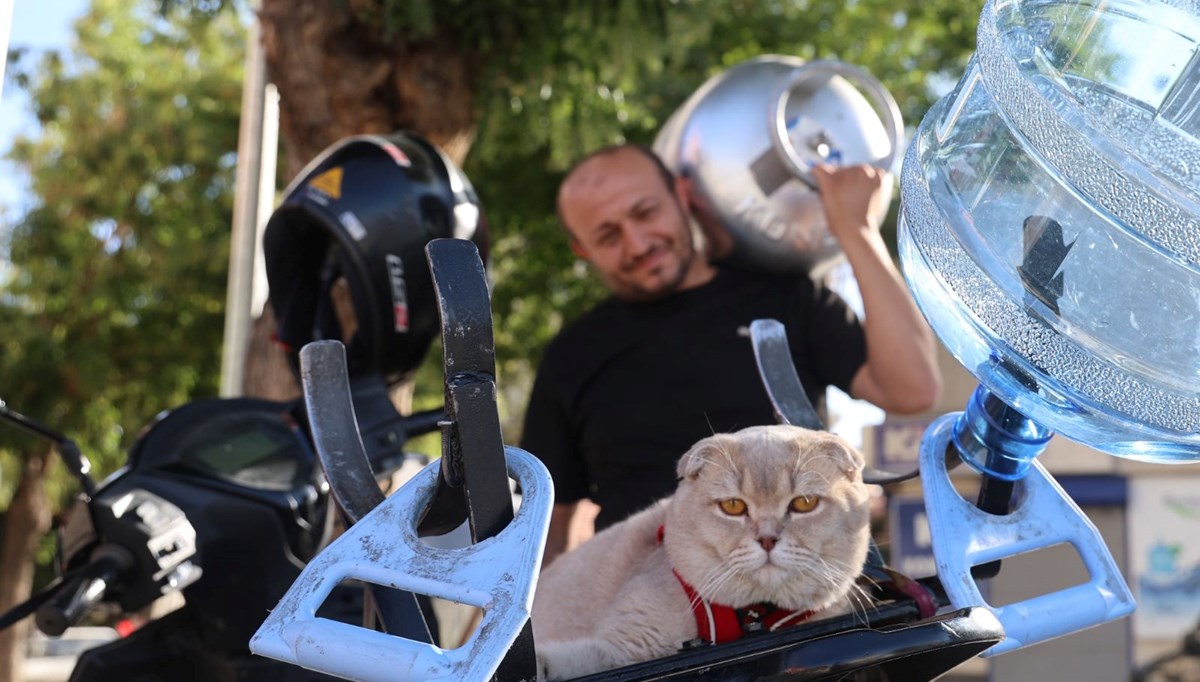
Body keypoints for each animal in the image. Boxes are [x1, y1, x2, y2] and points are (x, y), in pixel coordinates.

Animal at [530, 422, 868, 677]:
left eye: (804, 503)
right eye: (732, 506)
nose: (768, 539)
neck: (751, 617)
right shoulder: (621, 650)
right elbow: (571, 661)